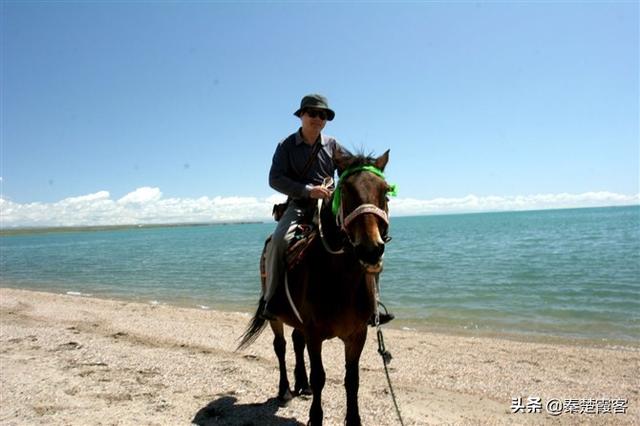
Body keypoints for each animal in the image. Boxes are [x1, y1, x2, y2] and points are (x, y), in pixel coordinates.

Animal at [239, 148, 392, 424]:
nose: (371, 249)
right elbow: (320, 376)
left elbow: (352, 379)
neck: (341, 280)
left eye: (385, 191)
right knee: (281, 346)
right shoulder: (315, 334)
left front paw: (353, 419)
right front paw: (316, 417)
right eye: (346, 191)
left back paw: (302, 384)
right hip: (275, 315)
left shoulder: (357, 335)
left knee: (295, 341)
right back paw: (285, 390)